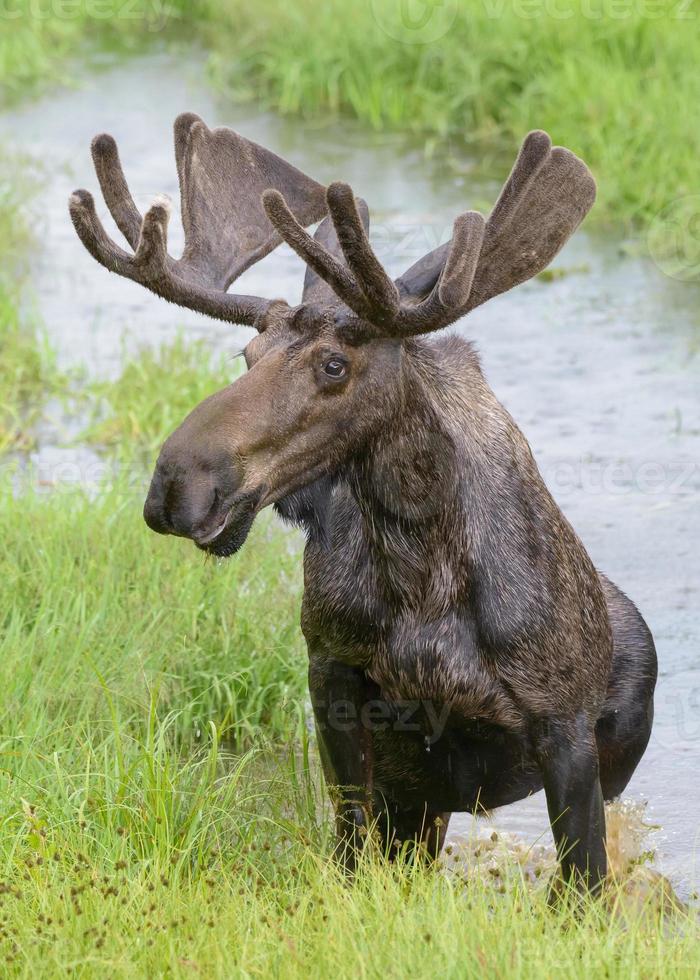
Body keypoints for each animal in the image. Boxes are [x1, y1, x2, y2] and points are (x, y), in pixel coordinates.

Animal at [69, 113, 656, 888]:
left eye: (334, 365)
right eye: (246, 358)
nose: (176, 485)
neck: (421, 567)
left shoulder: (565, 729)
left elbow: (583, 886)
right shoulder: (334, 678)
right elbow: (349, 849)